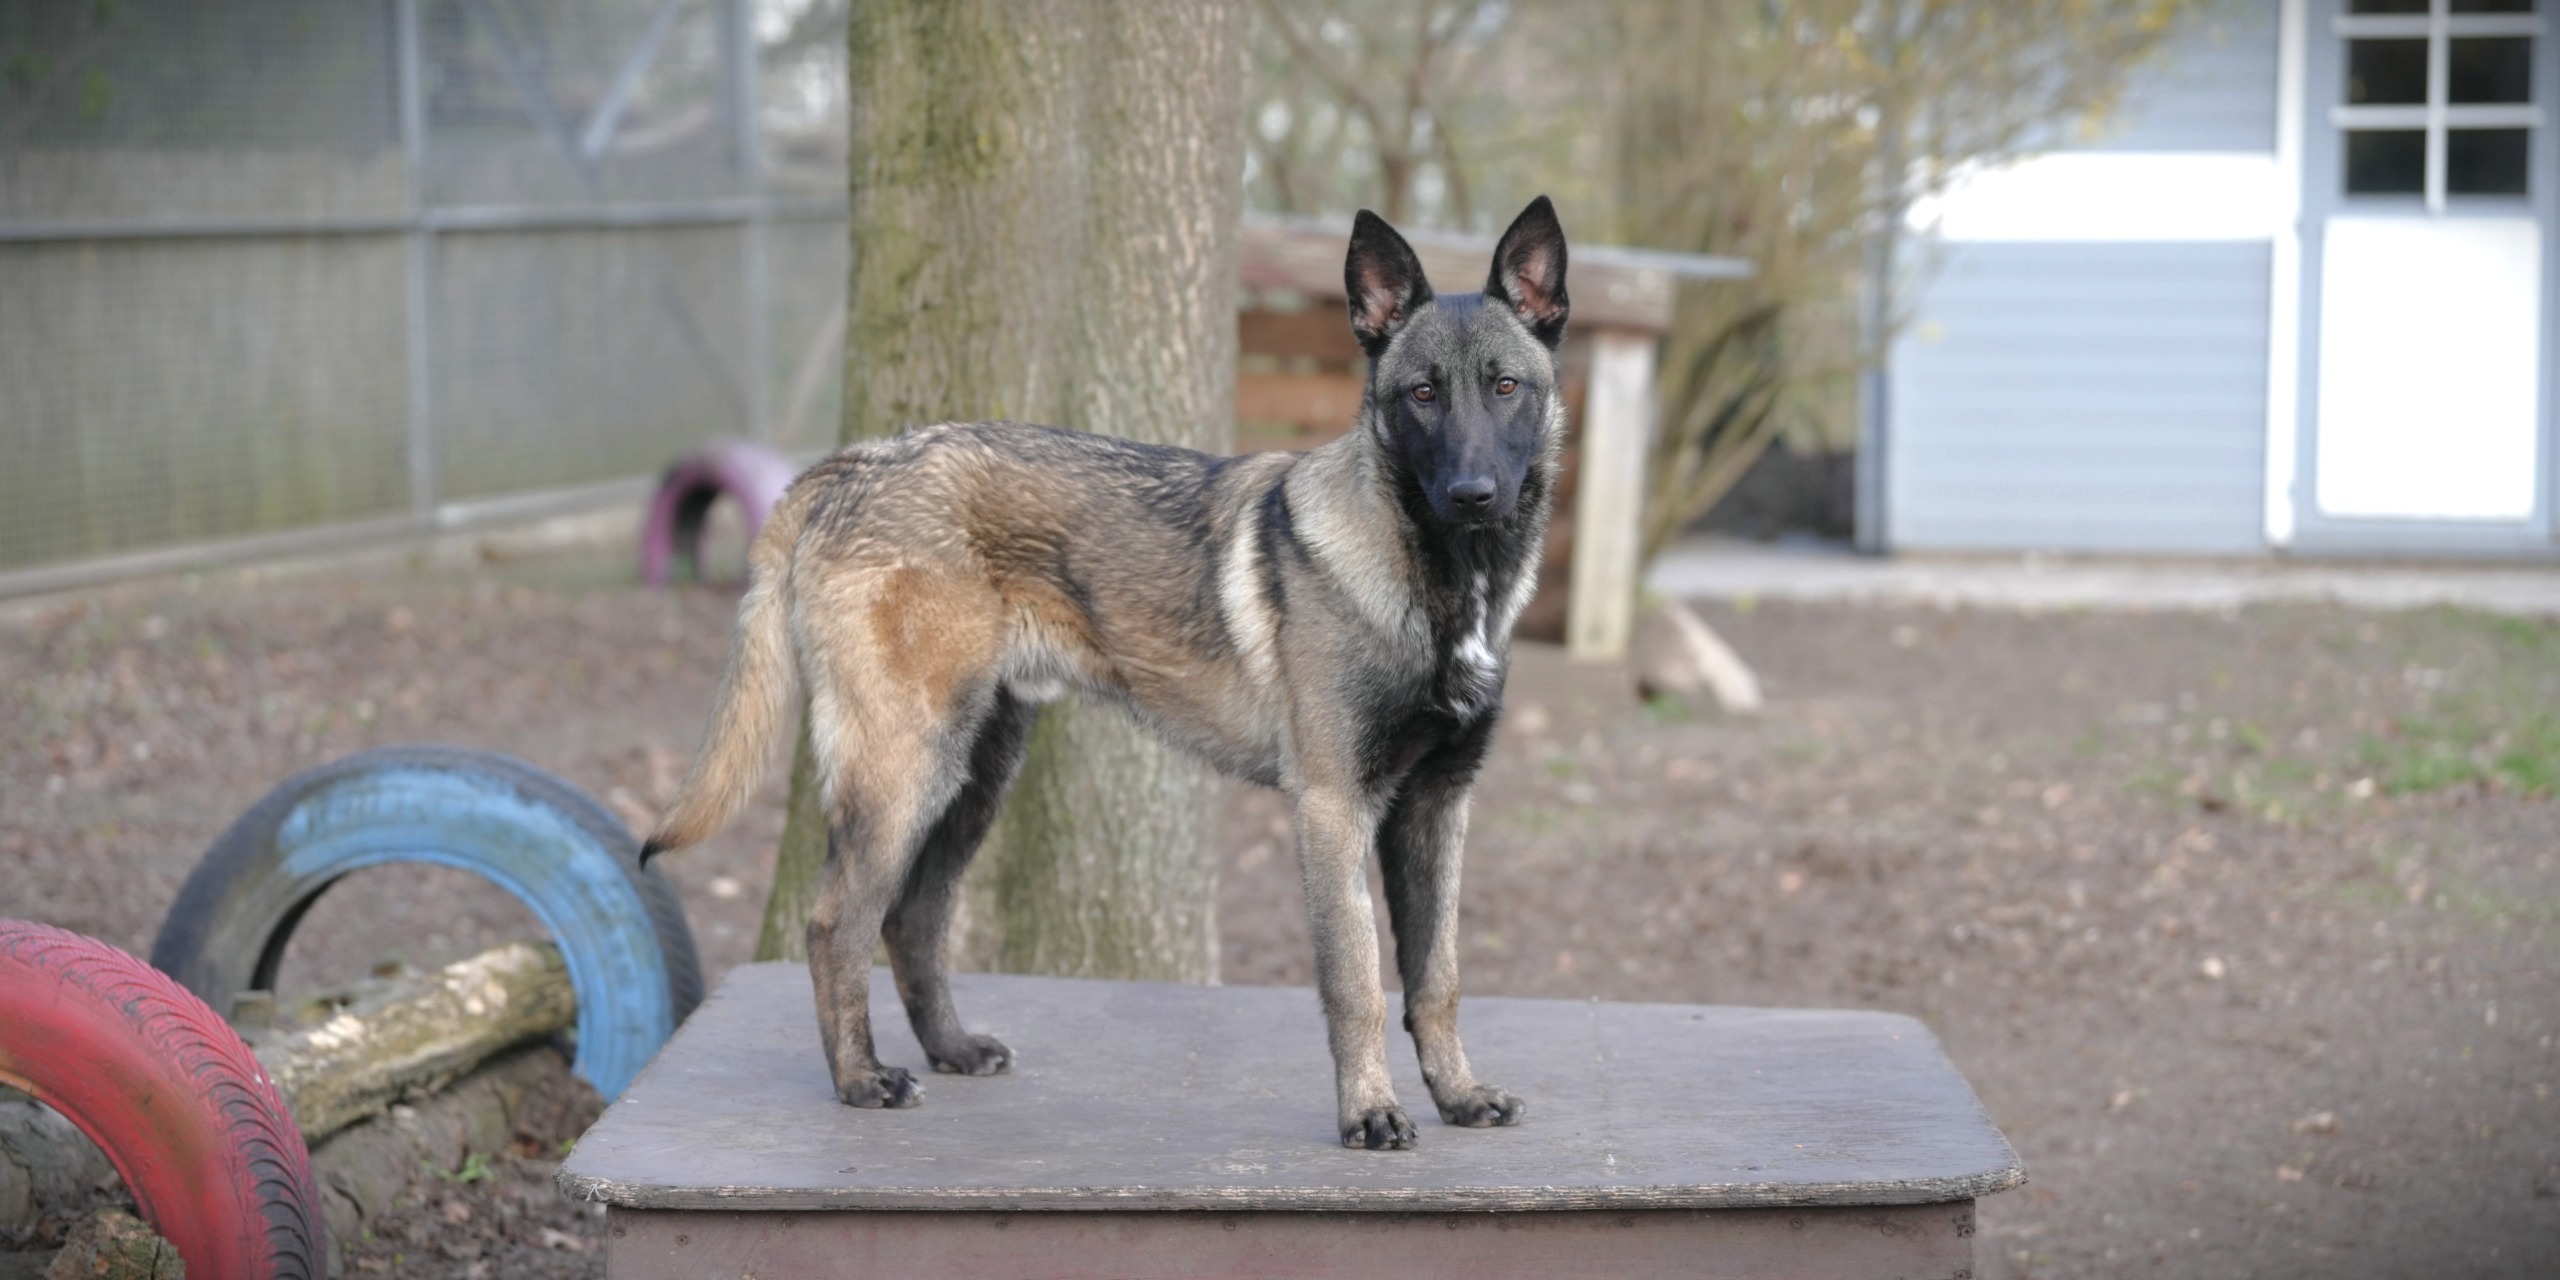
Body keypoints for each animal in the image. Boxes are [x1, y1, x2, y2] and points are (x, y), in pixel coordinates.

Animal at [642, 197, 1570, 1150]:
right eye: (1422, 394)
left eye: (1507, 387)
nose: (1473, 495)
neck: (1440, 583)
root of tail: (863, 461)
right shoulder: (1333, 808)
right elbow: (1358, 987)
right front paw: (1371, 1112)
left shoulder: (1435, 809)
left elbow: (1437, 978)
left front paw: (1458, 1095)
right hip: (907, 768)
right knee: (836, 923)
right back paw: (861, 1080)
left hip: (975, 776)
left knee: (912, 916)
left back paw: (951, 1049)